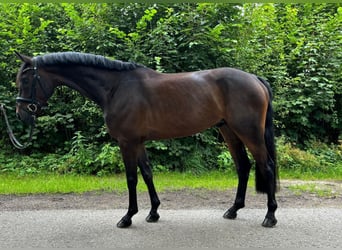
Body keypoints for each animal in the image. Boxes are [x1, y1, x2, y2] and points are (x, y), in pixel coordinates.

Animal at [14, 52, 280, 229]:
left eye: (26, 80)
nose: (22, 114)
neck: (115, 88)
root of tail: (255, 79)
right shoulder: (138, 142)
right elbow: (147, 173)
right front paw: (153, 212)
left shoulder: (127, 142)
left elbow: (131, 178)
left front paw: (127, 217)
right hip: (229, 132)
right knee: (243, 167)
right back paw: (233, 210)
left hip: (249, 133)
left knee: (266, 166)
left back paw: (270, 216)